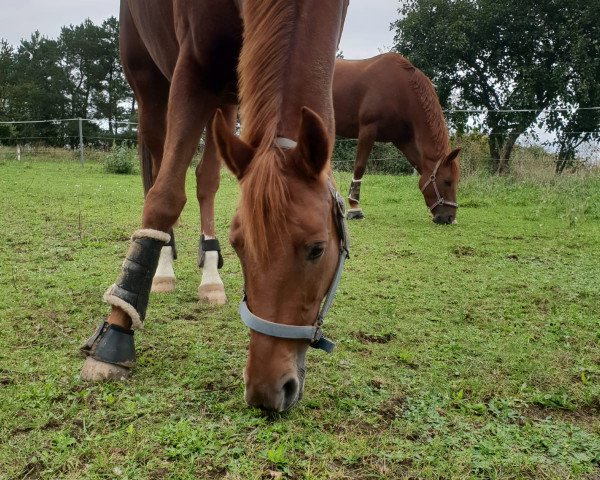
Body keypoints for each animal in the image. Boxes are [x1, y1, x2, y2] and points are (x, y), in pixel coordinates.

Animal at [81, 0, 350, 412]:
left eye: (317, 249)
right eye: (239, 246)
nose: (266, 390)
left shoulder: (228, 91)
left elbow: (207, 179)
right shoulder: (196, 69)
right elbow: (164, 196)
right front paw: (115, 333)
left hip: (224, 96)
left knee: (206, 176)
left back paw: (209, 274)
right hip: (150, 84)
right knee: (157, 165)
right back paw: (163, 268)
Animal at [332, 53, 460, 224]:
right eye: (447, 181)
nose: (448, 218)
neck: (401, 90)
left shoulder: (402, 140)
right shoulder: (368, 129)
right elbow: (359, 166)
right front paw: (354, 207)